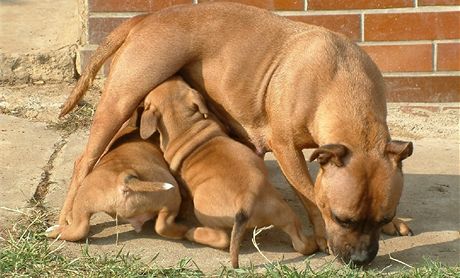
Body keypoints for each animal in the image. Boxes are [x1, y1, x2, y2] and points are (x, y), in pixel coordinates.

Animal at [140, 75, 320, 268]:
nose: (175, 74)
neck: (185, 126)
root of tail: (246, 199)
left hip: (204, 210)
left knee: (222, 239)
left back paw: (193, 233)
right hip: (282, 212)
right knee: (299, 240)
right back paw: (311, 243)